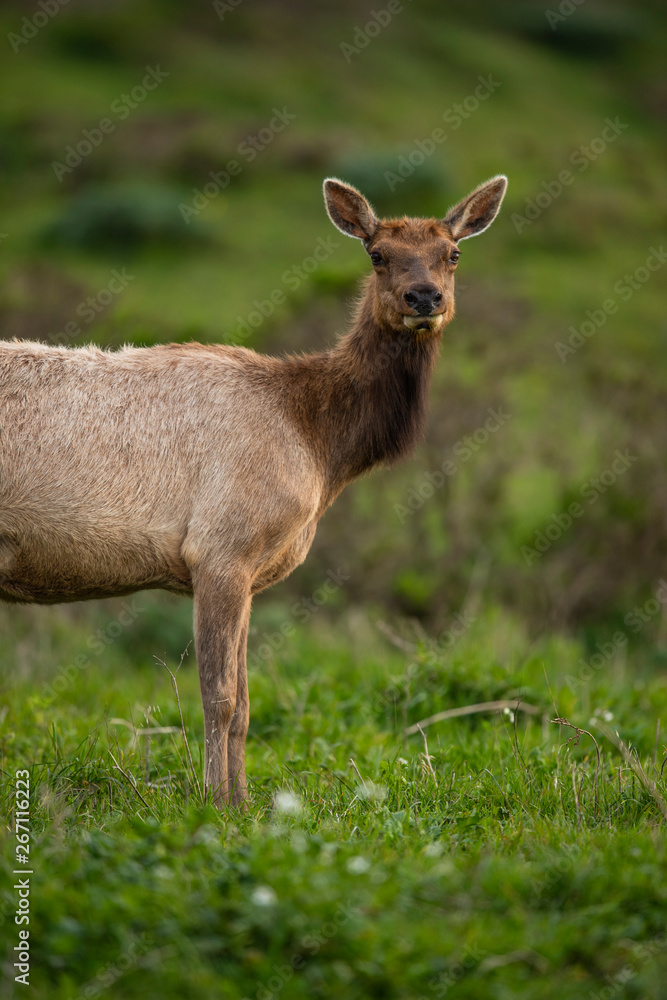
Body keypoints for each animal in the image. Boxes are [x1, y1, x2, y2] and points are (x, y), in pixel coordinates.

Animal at [0, 173, 507, 806]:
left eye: (452, 253)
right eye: (377, 254)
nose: (423, 298)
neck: (318, 443)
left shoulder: (245, 568)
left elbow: (244, 700)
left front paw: (243, 801)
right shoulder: (221, 549)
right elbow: (220, 698)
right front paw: (217, 801)